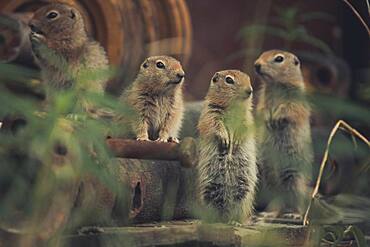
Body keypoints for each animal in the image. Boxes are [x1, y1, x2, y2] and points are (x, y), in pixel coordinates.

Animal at [197, 70, 258, 223]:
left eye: (248, 78)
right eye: (229, 80)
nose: (250, 90)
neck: (232, 107)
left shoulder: (247, 118)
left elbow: (245, 128)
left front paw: (235, 142)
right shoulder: (210, 113)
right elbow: (215, 125)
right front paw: (225, 139)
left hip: (244, 191)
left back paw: (235, 221)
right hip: (209, 189)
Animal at [256, 49, 314, 218]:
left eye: (279, 59)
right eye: (262, 54)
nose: (256, 65)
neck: (276, 85)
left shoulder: (295, 100)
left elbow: (289, 109)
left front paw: (276, 118)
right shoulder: (263, 99)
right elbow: (262, 109)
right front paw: (268, 119)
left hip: (294, 179)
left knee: (296, 201)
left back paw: (294, 214)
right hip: (270, 178)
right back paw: (269, 213)